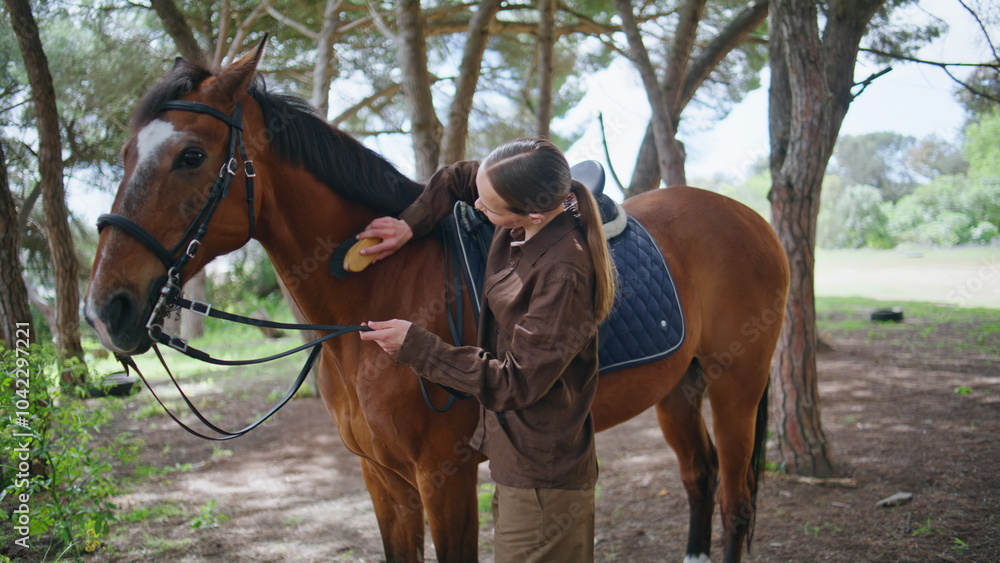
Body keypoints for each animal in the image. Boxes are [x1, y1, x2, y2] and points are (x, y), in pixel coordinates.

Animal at [85, 41, 789, 563]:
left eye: (191, 155)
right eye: (123, 154)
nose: (105, 311)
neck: (373, 292)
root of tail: (750, 218)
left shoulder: (444, 478)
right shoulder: (383, 480)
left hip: (736, 385)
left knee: (736, 501)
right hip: (676, 388)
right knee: (699, 478)